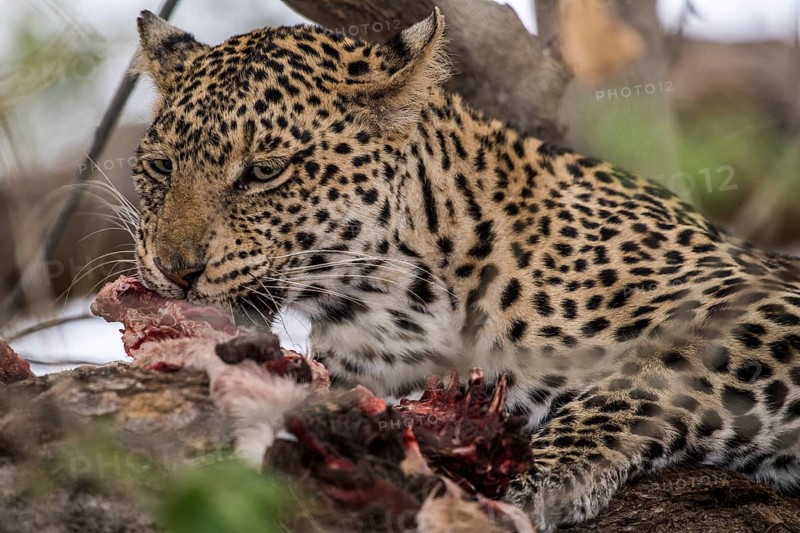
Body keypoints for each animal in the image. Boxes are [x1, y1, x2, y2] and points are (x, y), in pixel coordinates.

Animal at [130, 9, 800, 531]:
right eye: (161, 166)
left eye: (264, 172)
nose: (175, 269)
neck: (402, 298)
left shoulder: (765, 301)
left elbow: (653, 370)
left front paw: (547, 470)